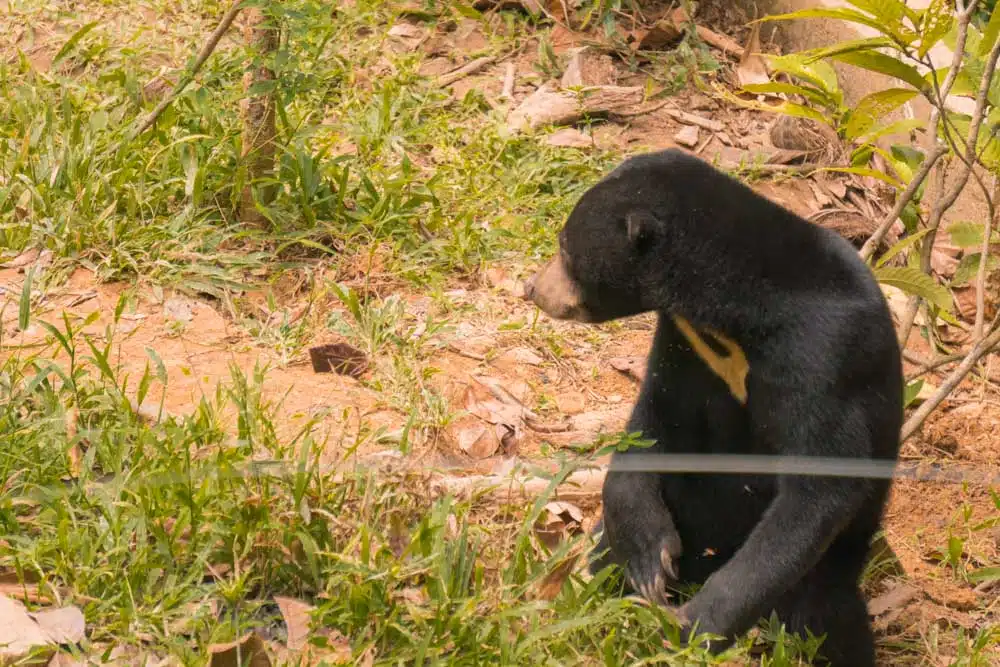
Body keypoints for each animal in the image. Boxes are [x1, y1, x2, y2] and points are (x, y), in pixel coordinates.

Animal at [522, 148, 902, 666]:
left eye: (564, 249)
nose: (531, 289)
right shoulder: (685, 337)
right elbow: (655, 418)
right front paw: (649, 558)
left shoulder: (824, 357)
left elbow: (822, 486)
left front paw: (695, 627)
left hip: (827, 573)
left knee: (829, 620)